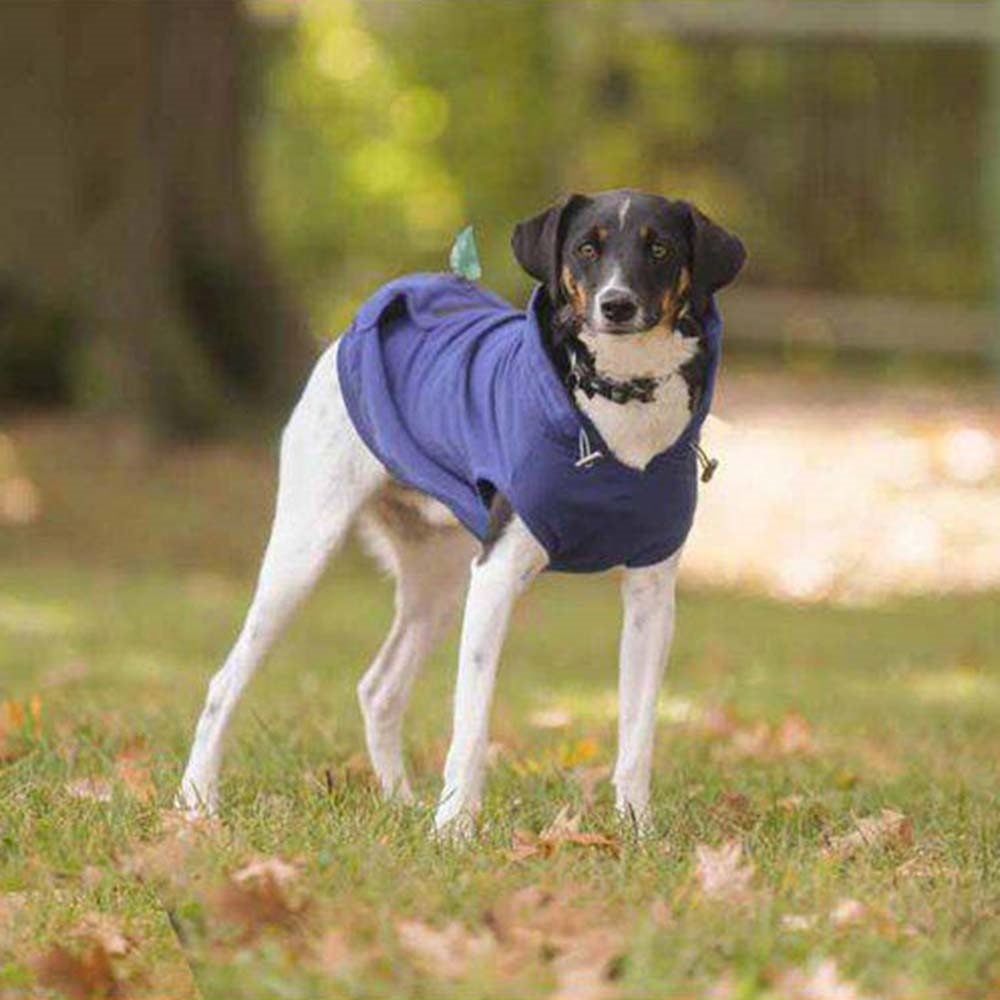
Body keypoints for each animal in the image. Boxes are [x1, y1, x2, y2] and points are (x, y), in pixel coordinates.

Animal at [176, 189, 745, 835]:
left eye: (660, 248)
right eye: (586, 248)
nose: (617, 305)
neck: (619, 405)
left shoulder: (651, 595)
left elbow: (639, 728)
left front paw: (636, 828)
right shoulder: (496, 576)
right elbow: (471, 727)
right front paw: (454, 830)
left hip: (438, 583)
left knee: (379, 688)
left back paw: (398, 800)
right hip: (303, 552)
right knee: (225, 682)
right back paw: (197, 799)